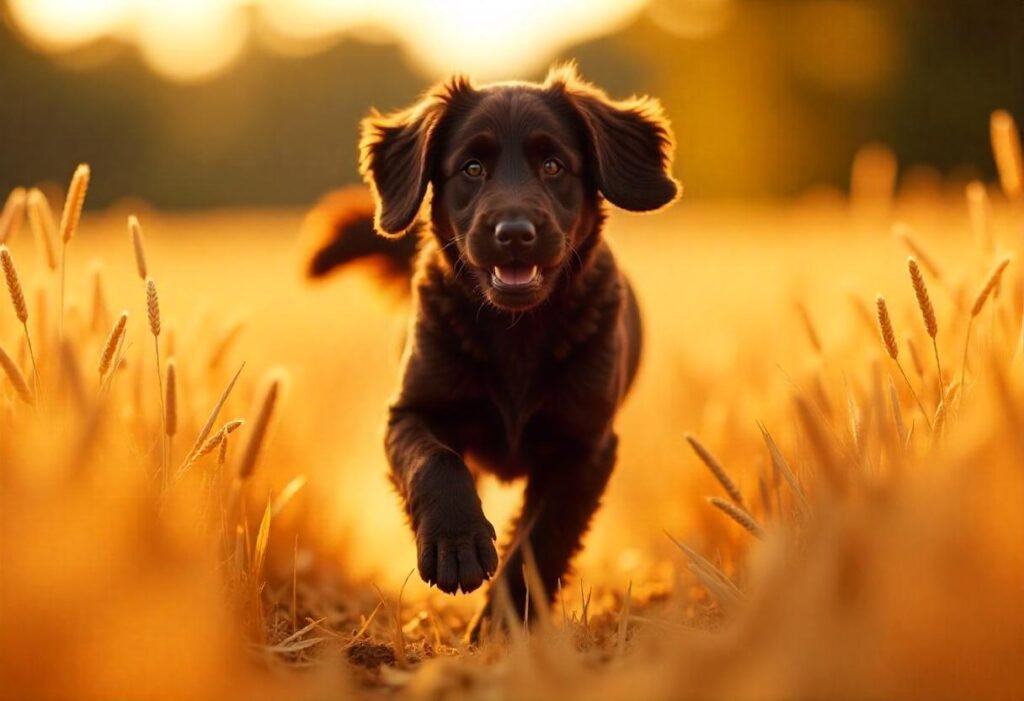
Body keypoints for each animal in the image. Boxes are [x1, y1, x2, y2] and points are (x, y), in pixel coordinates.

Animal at [309, 62, 679, 638]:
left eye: (553, 165)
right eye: (472, 168)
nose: (515, 233)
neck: (516, 333)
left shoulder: (586, 447)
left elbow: (540, 538)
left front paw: (503, 628)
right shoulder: (410, 411)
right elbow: (434, 462)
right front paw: (456, 544)